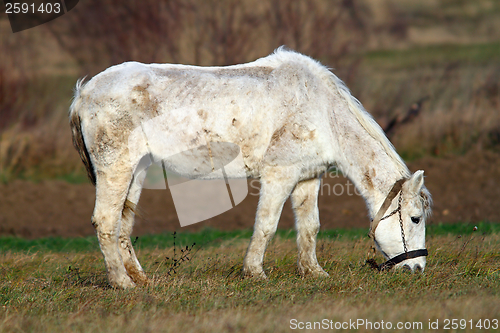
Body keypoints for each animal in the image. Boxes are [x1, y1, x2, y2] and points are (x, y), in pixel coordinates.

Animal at [68, 47, 432, 288]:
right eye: (415, 218)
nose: (417, 268)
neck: (320, 110)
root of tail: (84, 93)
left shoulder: (308, 178)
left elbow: (310, 227)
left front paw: (313, 272)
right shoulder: (279, 175)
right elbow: (266, 225)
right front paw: (255, 272)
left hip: (137, 171)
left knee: (123, 222)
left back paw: (140, 278)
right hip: (116, 168)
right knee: (106, 221)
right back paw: (121, 283)